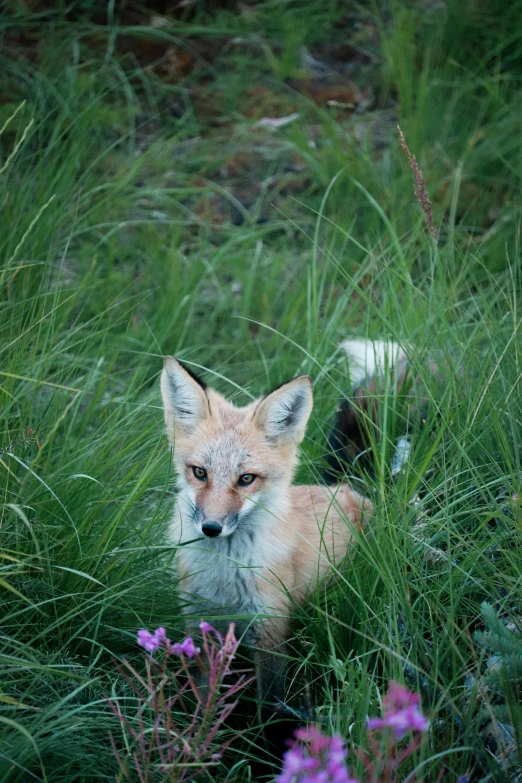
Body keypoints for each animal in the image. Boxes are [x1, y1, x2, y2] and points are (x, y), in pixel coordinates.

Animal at [159, 350, 382, 716]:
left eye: (246, 479)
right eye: (200, 472)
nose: (211, 528)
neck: (224, 579)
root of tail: (342, 487)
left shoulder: (270, 630)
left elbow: (271, 706)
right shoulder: (199, 621)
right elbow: (201, 699)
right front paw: (195, 729)